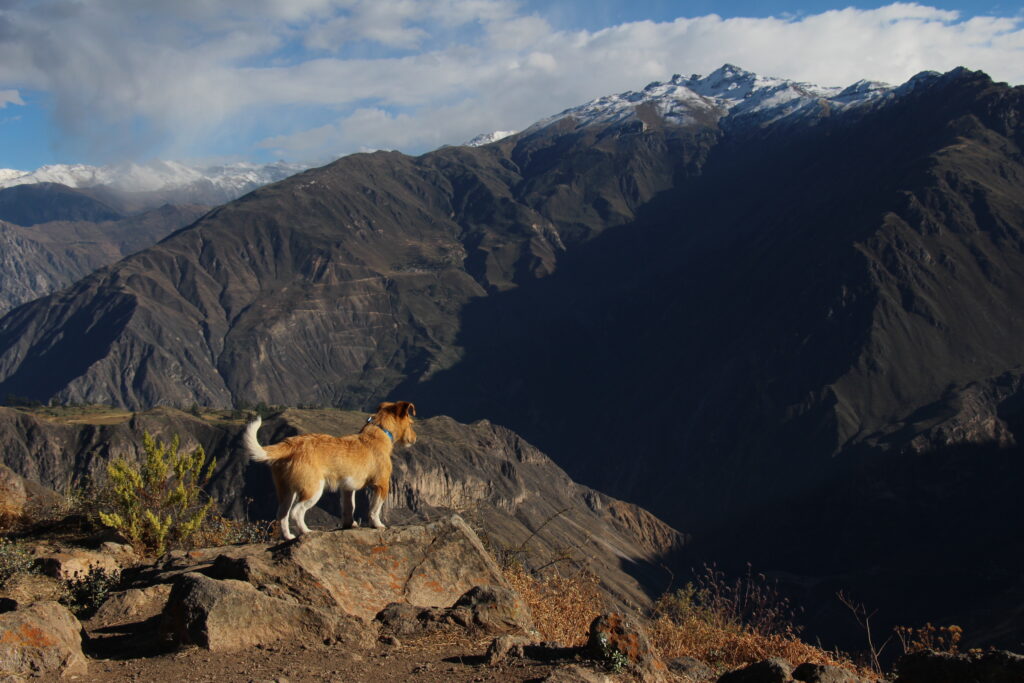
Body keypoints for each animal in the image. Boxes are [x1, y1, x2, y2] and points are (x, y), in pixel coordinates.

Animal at [242, 401, 415, 540]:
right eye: (411, 423)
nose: (414, 439)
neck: (379, 432)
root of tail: (289, 444)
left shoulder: (347, 488)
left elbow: (349, 507)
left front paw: (350, 524)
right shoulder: (382, 485)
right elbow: (374, 509)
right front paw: (378, 525)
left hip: (286, 491)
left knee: (282, 514)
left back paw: (288, 536)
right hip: (313, 489)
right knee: (296, 512)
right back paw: (306, 531)